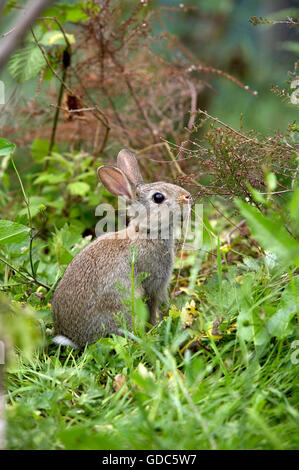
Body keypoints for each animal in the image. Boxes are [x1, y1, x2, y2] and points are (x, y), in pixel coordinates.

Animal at [51, 150, 192, 348]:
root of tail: (72, 338)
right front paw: (154, 329)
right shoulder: (153, 285)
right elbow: (151, 308)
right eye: (158, 198)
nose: (188, 196)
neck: (146, 232)